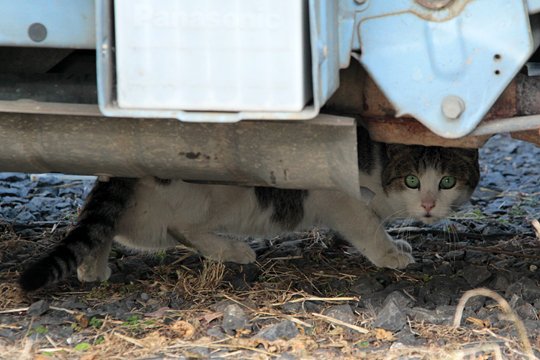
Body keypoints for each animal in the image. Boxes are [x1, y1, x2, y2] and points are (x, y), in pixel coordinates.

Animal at [19, 128, 478, 292]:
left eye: (447, 182)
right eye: (413, 181)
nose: (428, 206)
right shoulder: (339, 197)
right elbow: (366, 225)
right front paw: (390, 254)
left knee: (103, 224)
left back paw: (91, 267)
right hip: (209, 195)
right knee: (182, 230)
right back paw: (235, 250)